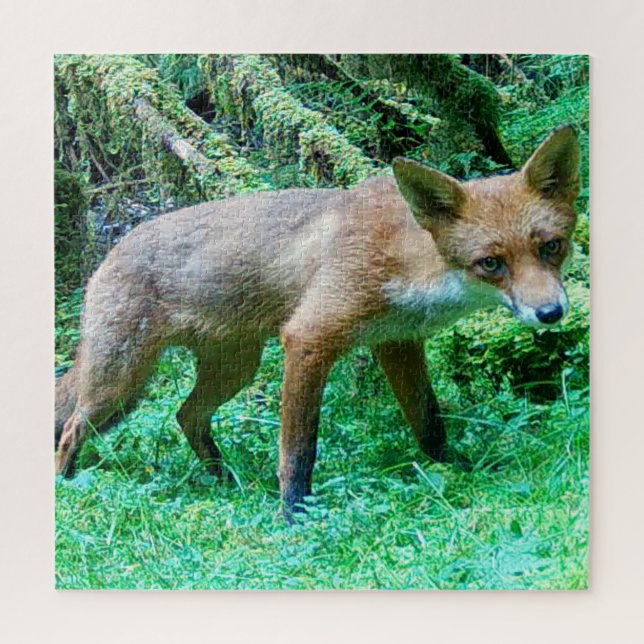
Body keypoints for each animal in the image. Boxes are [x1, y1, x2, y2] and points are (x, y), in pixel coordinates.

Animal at [55, 125, 581, 521]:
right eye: (491, 263)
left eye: (551, 247)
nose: (550, 313)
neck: (405, 258)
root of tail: (109, 253)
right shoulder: (309, 338)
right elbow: (298, 449)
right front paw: (293, 515)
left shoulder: (397, 342)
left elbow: (430, 425)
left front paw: (460, 469)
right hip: (120, 384)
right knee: (72, 429)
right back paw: (66, 488)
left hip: (232, 369)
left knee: (186, 415)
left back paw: (223, 480)